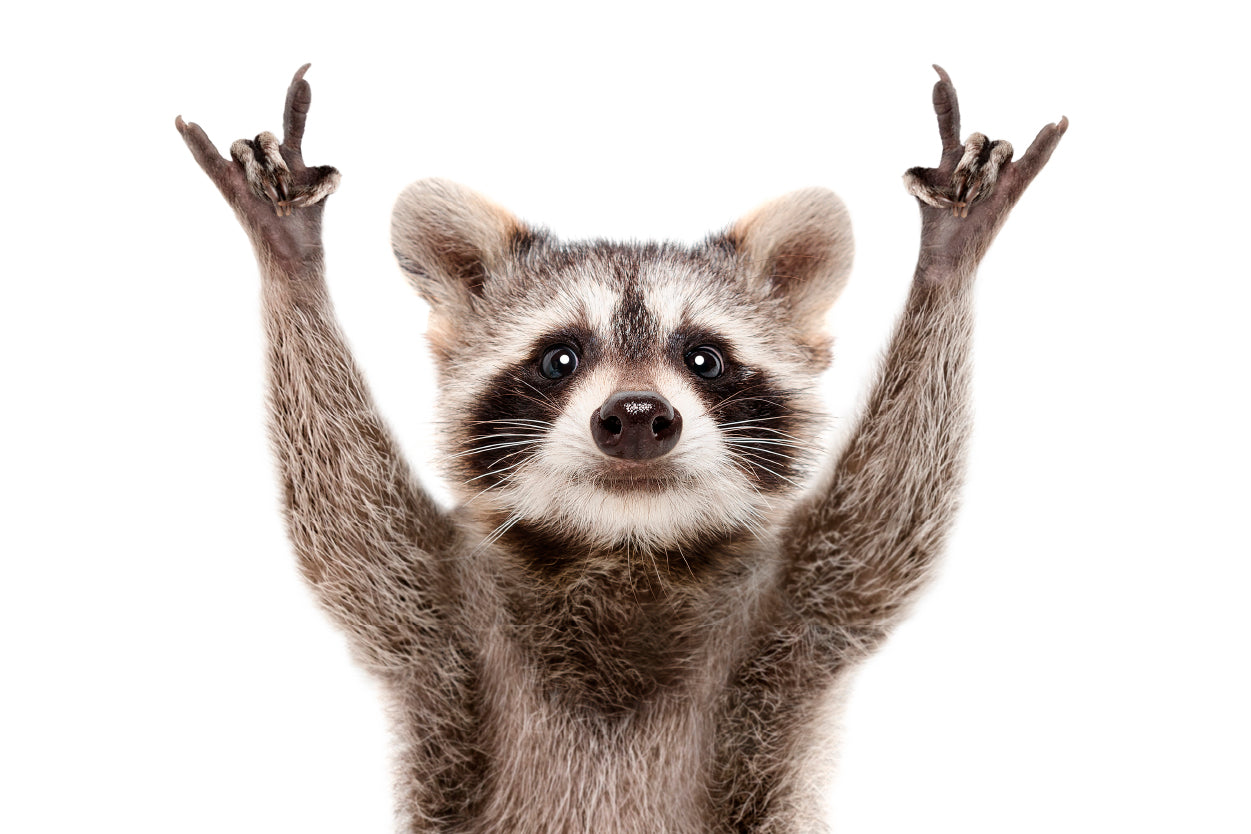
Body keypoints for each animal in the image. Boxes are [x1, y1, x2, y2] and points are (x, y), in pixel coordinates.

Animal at [177, 64, 1066, 833]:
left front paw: (946, 261)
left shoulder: (795, 612)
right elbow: (344, 516)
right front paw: (291, 263)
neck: (624, 546)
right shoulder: (437, 615)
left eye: (703, 359)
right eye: (559, 358)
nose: (637, 416)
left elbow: (889, 516)